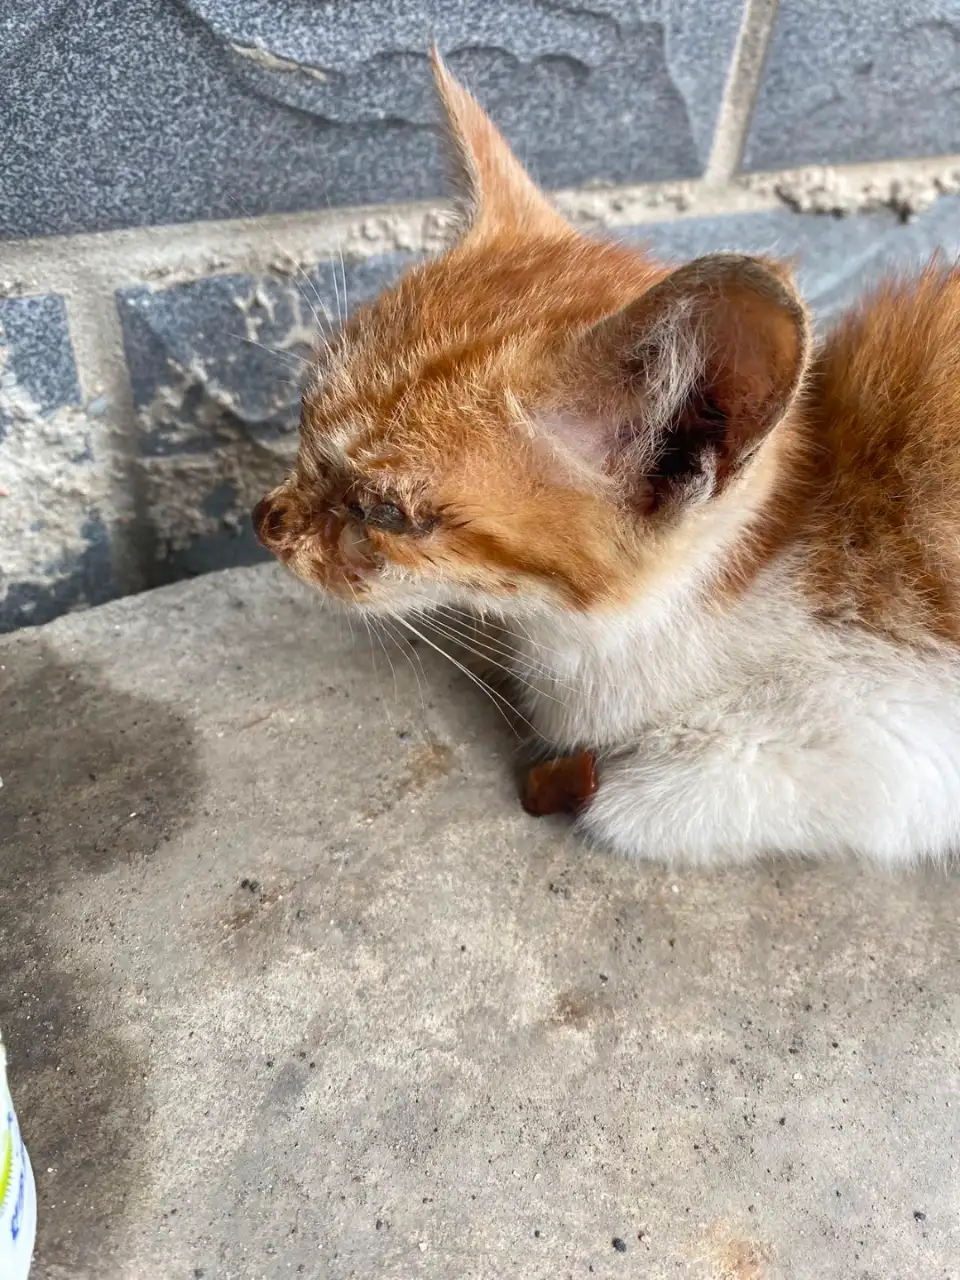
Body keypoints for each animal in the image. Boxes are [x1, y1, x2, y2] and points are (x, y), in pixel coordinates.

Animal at [257, 52, 960, 870]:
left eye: (385, 512)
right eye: (303, 416)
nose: (266, 522)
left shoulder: (899, 736)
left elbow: (667, 795)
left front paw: (612, 787)